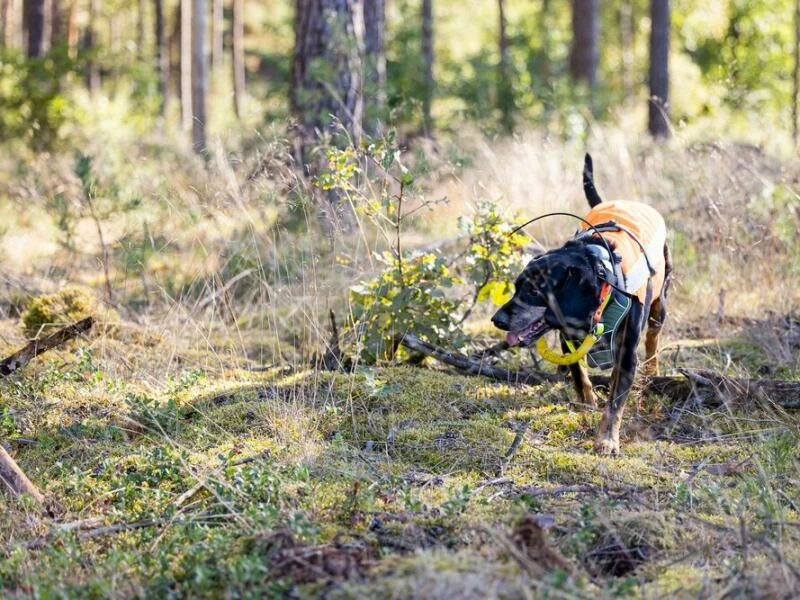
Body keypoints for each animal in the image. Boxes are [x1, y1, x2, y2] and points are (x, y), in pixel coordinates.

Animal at [490, 155, 672, 454]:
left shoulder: (626, 353)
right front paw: (586, 402)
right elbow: (577, 370)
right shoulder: (568, 333)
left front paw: (607, 440)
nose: (497, 320)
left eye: (533, 291)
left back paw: (652, 370)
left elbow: (615, 401)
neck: (603, 274)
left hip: (660, 301)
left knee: (653, 338)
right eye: (516, 287)